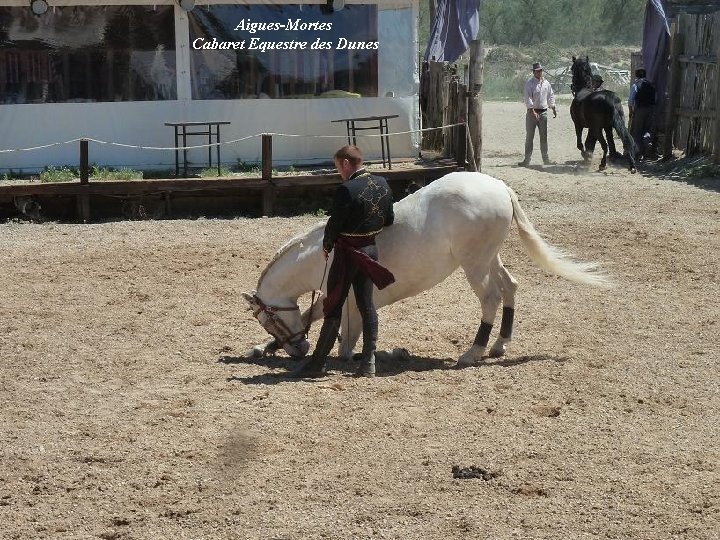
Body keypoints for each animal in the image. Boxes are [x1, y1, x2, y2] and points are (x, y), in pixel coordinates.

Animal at [240, 172, 608, 368]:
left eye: (268, 320)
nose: (297, 349)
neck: (327, 253)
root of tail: (499, 187)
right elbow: (312, 316)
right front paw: (263, 348)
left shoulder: (347, 300)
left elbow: (340, 334)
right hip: (490, 258)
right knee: (509, 287)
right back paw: (499, 345)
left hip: (475, 264)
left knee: (490, 298)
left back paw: (473, 353)